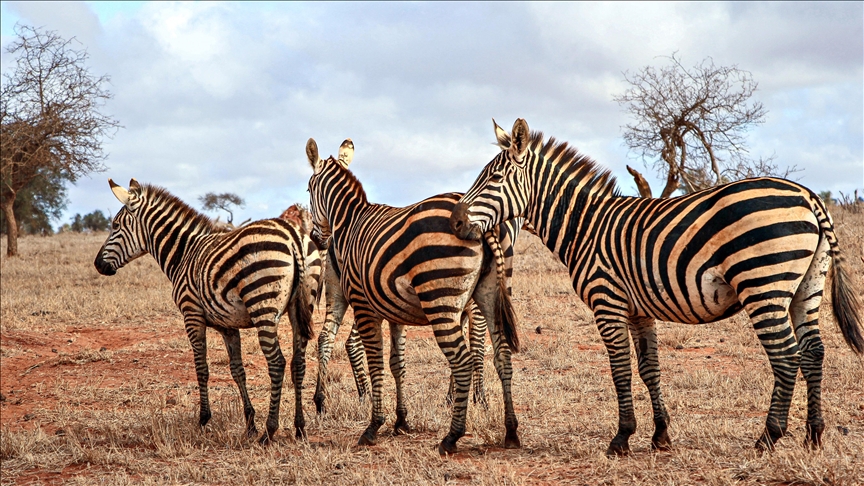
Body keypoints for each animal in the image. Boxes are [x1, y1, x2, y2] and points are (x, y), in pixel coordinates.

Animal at [94, 179, 318, 444]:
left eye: (115, 226)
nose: (98, 265)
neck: (183, 254)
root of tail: (293, 235)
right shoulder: (228, 325)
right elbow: (237, 371)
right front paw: (249, 423)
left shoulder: (191, 315)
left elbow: (201, 369)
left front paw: (203, 419)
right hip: (301, 306)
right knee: (298, 363)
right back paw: (300, 427)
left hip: (262, 304)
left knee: (277, 363)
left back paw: (269, 430)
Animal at [306, 138, 521, 454]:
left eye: (308, 191)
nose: (316, 238)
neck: (350, 222)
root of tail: (483, 227)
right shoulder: (394, 310)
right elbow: (397, 364)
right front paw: (401, 420)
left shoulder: (364, 305)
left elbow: (377, 362)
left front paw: (374, 425)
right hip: (488, 298)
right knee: (503, 356)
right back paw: (510, 431)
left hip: (439, 301)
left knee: (463, 361)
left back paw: (452, 436)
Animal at [450, 118, 864, 455]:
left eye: (493, 180)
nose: (454, 222)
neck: (585, 226)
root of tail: (808, 196)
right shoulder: (639, 311)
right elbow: (650, 369)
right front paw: (660, 435)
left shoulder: (607, 303)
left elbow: (620, 370)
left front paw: (621, 438)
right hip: (806, 287)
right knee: (813, 352)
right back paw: (814, 435)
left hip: (763, 285)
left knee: (787, 357)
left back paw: (769, 437)